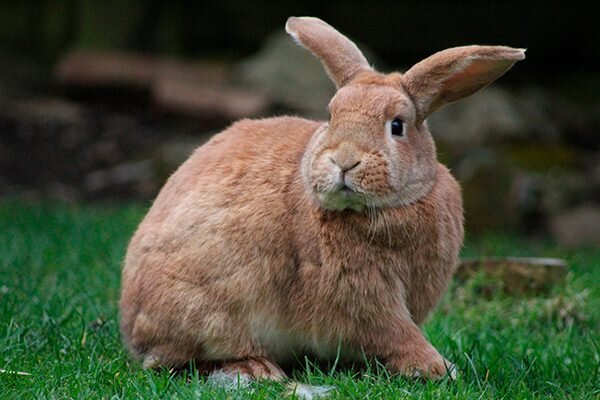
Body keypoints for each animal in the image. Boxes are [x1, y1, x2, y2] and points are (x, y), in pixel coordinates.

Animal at [119, 16, 524, 382]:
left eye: (397, 125)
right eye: (331, 116)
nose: (344, 160)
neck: (382, 209)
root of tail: (132, 323)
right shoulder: (364, 298)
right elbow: (395, 333)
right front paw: (438, 368)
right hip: (213, 311)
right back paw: (256, 369)